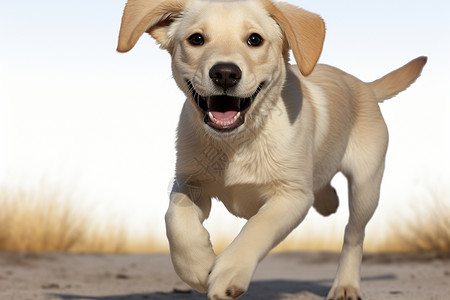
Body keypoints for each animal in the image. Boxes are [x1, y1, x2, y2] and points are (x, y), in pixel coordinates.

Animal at [118, 1, 428, 298]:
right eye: (196, 39)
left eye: (254, 39)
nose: (225, 73)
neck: (237, 142)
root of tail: (364, 85)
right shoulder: (189, 182)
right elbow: (175, 219)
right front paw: (195, 265)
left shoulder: (291, 195)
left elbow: (258, 227)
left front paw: (229, 272)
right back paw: (329, 201)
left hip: (366, 185)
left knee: (354, 234)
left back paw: (346, 286)